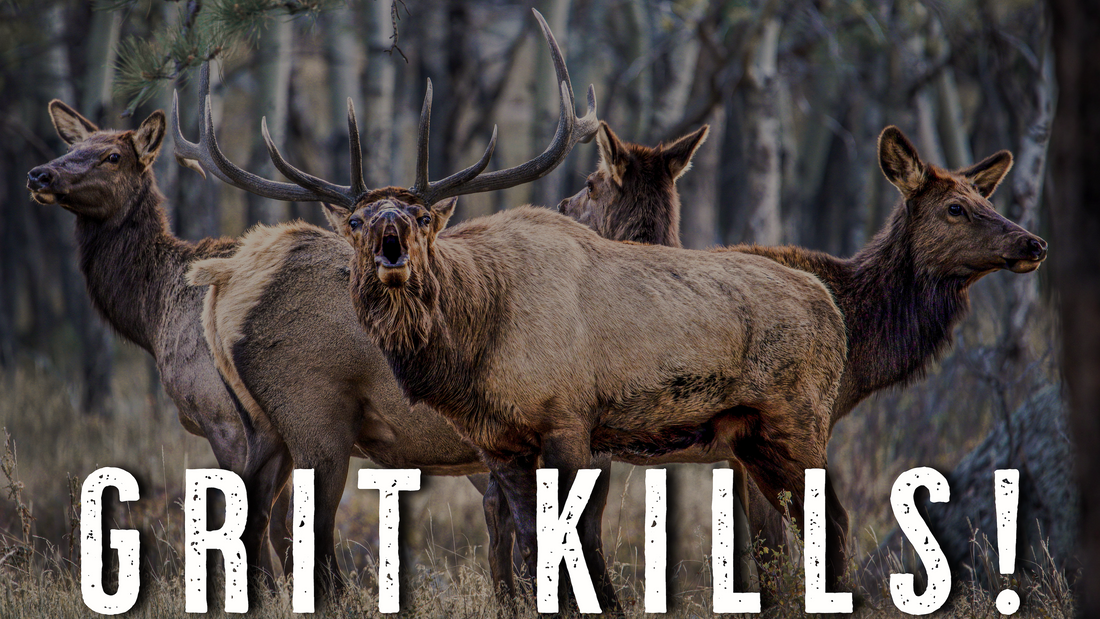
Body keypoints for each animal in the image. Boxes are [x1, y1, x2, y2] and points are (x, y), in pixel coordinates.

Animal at [23, 101, 293, 581]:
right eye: (71, 146)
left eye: (113, 156)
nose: (40, 175)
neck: (152, 318)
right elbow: (287, 532)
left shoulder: (224, 417)